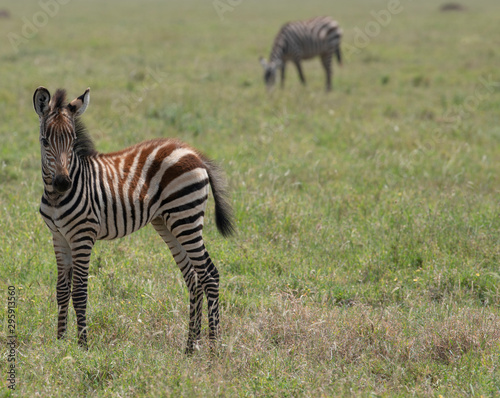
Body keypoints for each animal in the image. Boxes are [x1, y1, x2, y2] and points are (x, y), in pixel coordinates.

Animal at [34, 86, 233, 352]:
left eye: (72, 140)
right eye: (45, 141)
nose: (63, 183)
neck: (57, 196)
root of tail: (194, 153)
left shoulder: (83, 236)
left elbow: (79, 291)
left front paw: (82, 346)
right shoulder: (58, 237)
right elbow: (62, 290)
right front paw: (60, 343)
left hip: (186, 218)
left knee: (209, 276)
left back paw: (213, 348)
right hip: (168, 223)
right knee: (194, 278)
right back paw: (191, 347)